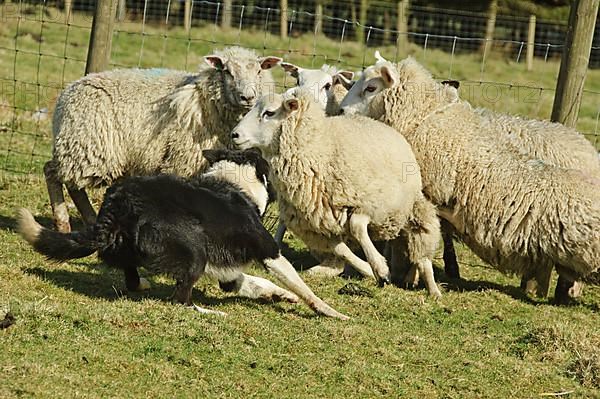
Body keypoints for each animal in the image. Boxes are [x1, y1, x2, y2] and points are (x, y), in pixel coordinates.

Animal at [17, 148, 346, 320]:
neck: (236, 183)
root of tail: (119, 204)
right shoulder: (268, 250)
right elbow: (302, 286)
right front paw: (329, 311)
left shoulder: (229, 273)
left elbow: (255, 283)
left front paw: (279, 295)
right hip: (194, 253)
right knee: (180, 300)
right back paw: (211, 313)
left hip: (129, 248)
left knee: (132, 278)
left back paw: (143, 284)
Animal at [45, 47, 282, 234]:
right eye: (227, 71)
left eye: (259, 70)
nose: (248, 97)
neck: (206, 101)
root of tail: (65, 96)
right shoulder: (182, 161)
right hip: (89, 149)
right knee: (53, 173)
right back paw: (63, 222)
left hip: (82, 149)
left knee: (71, 184)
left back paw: (89, 219)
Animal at [230, 89, 440, 298]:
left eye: (269, 113)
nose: (234, 134)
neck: (319, 150)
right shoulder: (318, 226)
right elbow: (341, 250)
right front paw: (369, 269)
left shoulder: (369, 205)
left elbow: (356, 227)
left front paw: (380, 268)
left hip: (410, 208)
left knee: (422, 249)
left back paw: (432, 289)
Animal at [342, 57, 600, 304]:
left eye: (371, 88)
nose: (342, 110)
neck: (422, 117)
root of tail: (589, 152)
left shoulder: (425, 196)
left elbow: (418, 240)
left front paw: (414, 280)